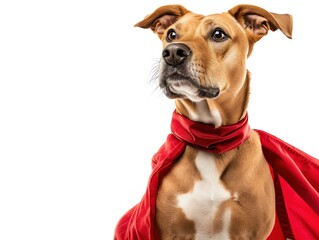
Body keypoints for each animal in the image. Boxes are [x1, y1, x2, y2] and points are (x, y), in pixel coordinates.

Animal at [116, 3, 318, 240]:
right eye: (171, 34)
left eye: (218, 34)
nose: (173, 52)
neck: (211, 139)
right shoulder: (170, 231)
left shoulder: (253, 232)